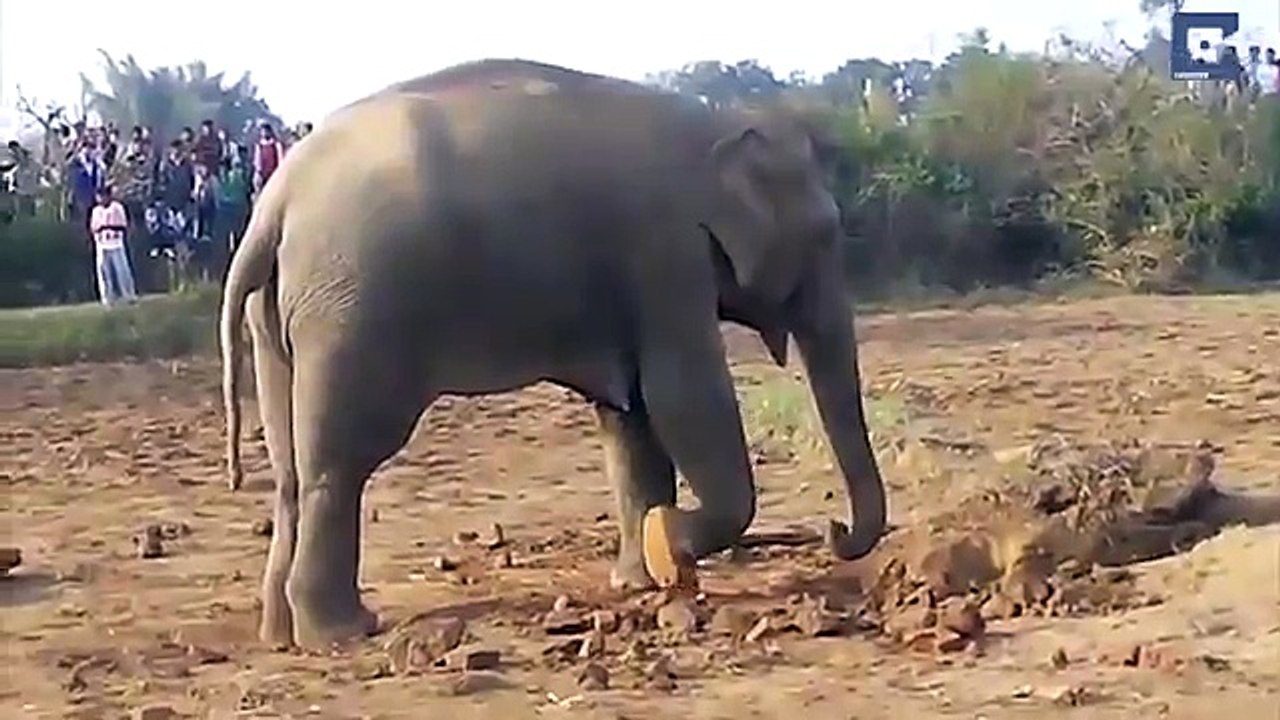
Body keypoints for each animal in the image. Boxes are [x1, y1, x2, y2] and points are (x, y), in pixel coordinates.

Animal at [220, 58, 888, 651]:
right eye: (825, 236)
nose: (833, 530)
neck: (715, 127)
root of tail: (274, 206)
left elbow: (631, 416)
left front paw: (639, 576)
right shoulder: (666, 253)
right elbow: (682, 396)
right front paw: (666, 543)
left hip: (280, 315)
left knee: (291, 471)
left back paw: (281, 634)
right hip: (353, 314)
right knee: (341, 463)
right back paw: (343, 634)